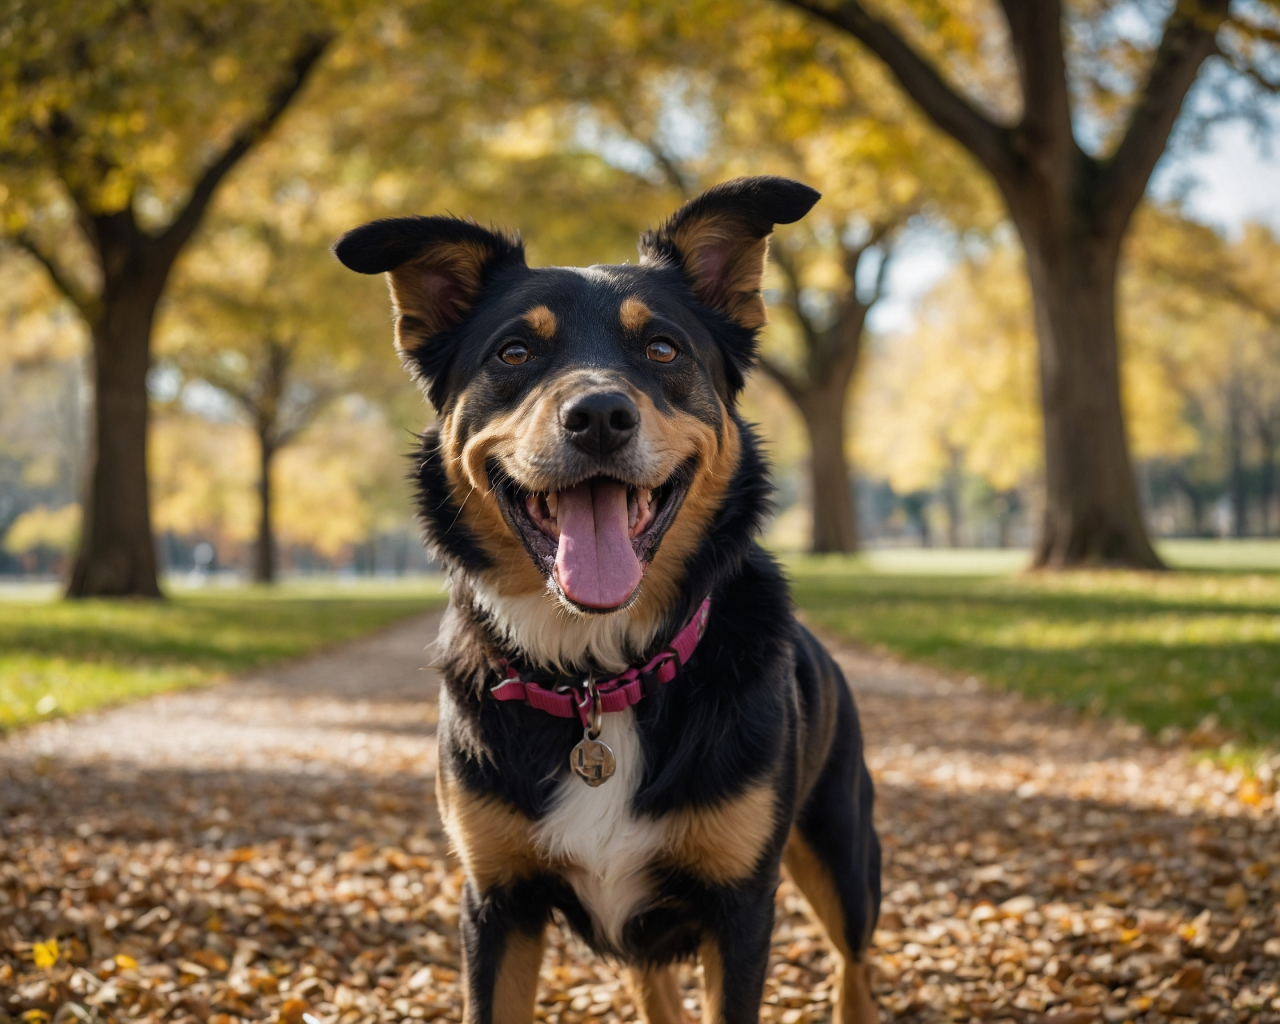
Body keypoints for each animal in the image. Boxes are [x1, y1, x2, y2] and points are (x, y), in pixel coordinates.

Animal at [335, 177, 880, 1024]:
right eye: (514, 352)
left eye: (662, 348)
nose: (598, 417)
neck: (598, 673)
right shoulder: (496, 901)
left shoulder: (740, 906)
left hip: (842, 853)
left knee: (853, 963)